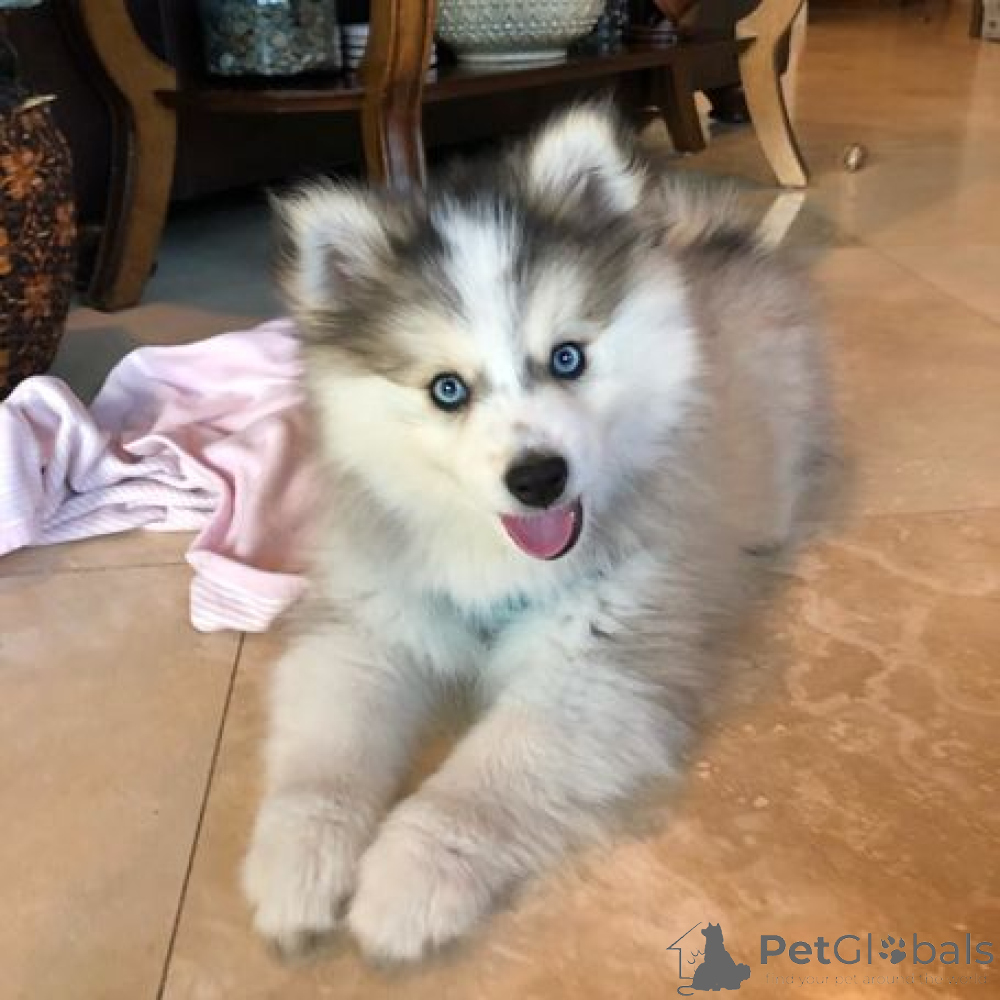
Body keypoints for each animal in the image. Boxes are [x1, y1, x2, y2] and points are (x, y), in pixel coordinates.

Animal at [242, 105, 834, 963]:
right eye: (446, 390)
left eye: (567, 357)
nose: (539, 478)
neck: (494, 554)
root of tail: (703, 241)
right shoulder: (366, 625)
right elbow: (323, 758)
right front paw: (299, 861)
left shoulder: (594, 662)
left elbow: (478, 785)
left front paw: (409, 880)